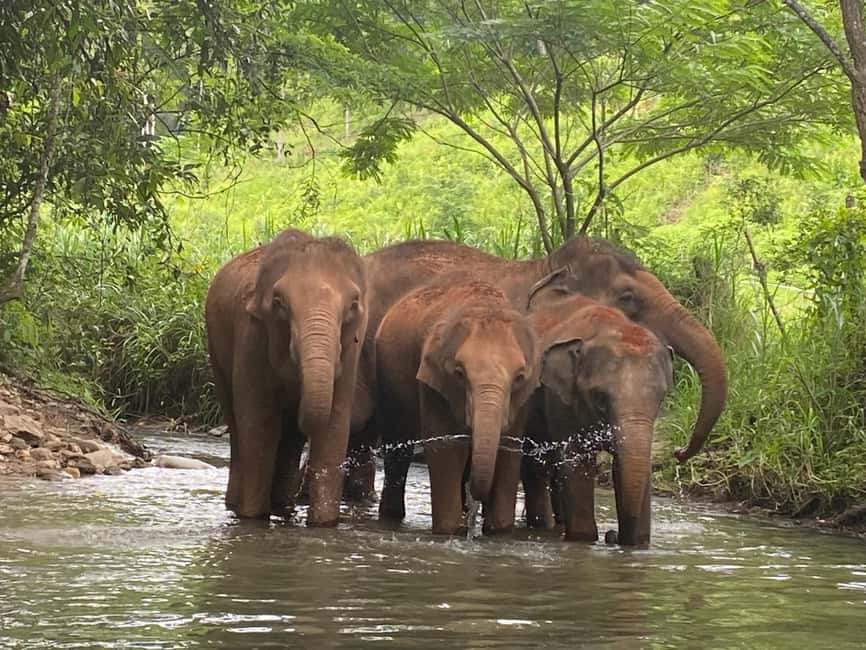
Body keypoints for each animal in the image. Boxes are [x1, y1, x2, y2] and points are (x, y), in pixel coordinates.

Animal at [205, 228, 368, 525]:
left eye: (353, 305)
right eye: (279, 303)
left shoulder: (352, 351)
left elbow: (335, 425)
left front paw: (324, 524)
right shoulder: (252, 336)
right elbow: (258, 422)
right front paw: (252, 518)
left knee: (290, 438)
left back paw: (282, 506)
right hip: (215, 350)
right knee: (236, 424)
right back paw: (237, 504)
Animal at [374, 278, 540, 535]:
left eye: (519, 377)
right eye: (460, 374)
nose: (477, 501)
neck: (485, 304)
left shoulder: (522, 399)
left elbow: (508, 451)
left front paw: (499, 531)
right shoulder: (434, 383)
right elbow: (447, 449)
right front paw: (451, 530)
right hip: (389, 382)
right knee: (398, 448)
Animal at [523, 295, 674, 545]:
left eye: (660, 397)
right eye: (600, 398)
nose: (612, 535)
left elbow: (632, 466)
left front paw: (638, 543)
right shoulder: (560, 400)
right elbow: (577, 462)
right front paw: (584, 539)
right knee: (536, 469)